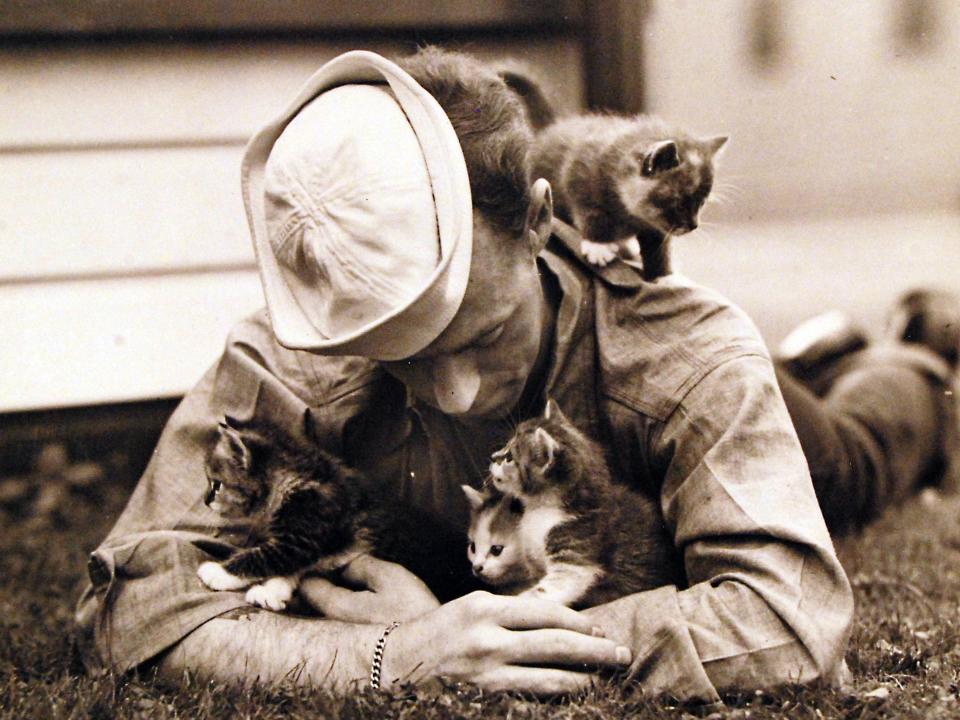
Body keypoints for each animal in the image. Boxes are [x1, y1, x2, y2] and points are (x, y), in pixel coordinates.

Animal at [199, 414, 476, 612]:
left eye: (216, 484)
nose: (204, 501)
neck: (296, 480)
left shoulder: (306, 531)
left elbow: (265, 556)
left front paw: (218, 573)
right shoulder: (322, 543)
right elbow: (294, 565)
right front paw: (273, 591)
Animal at [460, 400, 680, 608]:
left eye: (509, 457)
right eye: (472, 548)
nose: (493, 457)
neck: (542, 510)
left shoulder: (575, 554)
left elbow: (547, 590)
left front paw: (516, 601)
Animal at [498, 69, 724, 278]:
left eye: (701, 203)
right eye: (680, 204)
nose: (693, 225)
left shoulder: (654, 226)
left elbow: (658, 248)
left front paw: (663, 275)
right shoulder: (577, 174)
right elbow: (592, 211)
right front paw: (597, 246)